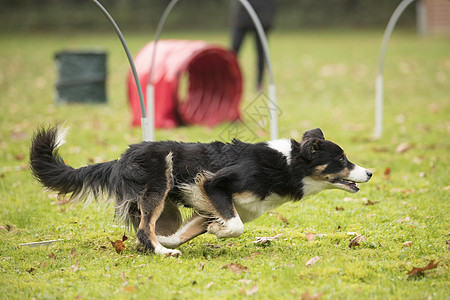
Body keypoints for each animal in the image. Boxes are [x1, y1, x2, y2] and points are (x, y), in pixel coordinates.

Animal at [29, 126, 370, 255]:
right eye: (341, 160)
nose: (369, 172)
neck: (286, 164)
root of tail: (120, 159)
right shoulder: (213, 184)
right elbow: (235, 226)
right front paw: (218, 233)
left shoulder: (212, 206)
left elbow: (192, 230)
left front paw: (177, 238)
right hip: (159, 181)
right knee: (143, 228)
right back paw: (162, 252)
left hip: (167, 206)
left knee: (147, 227)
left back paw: (159, 244)